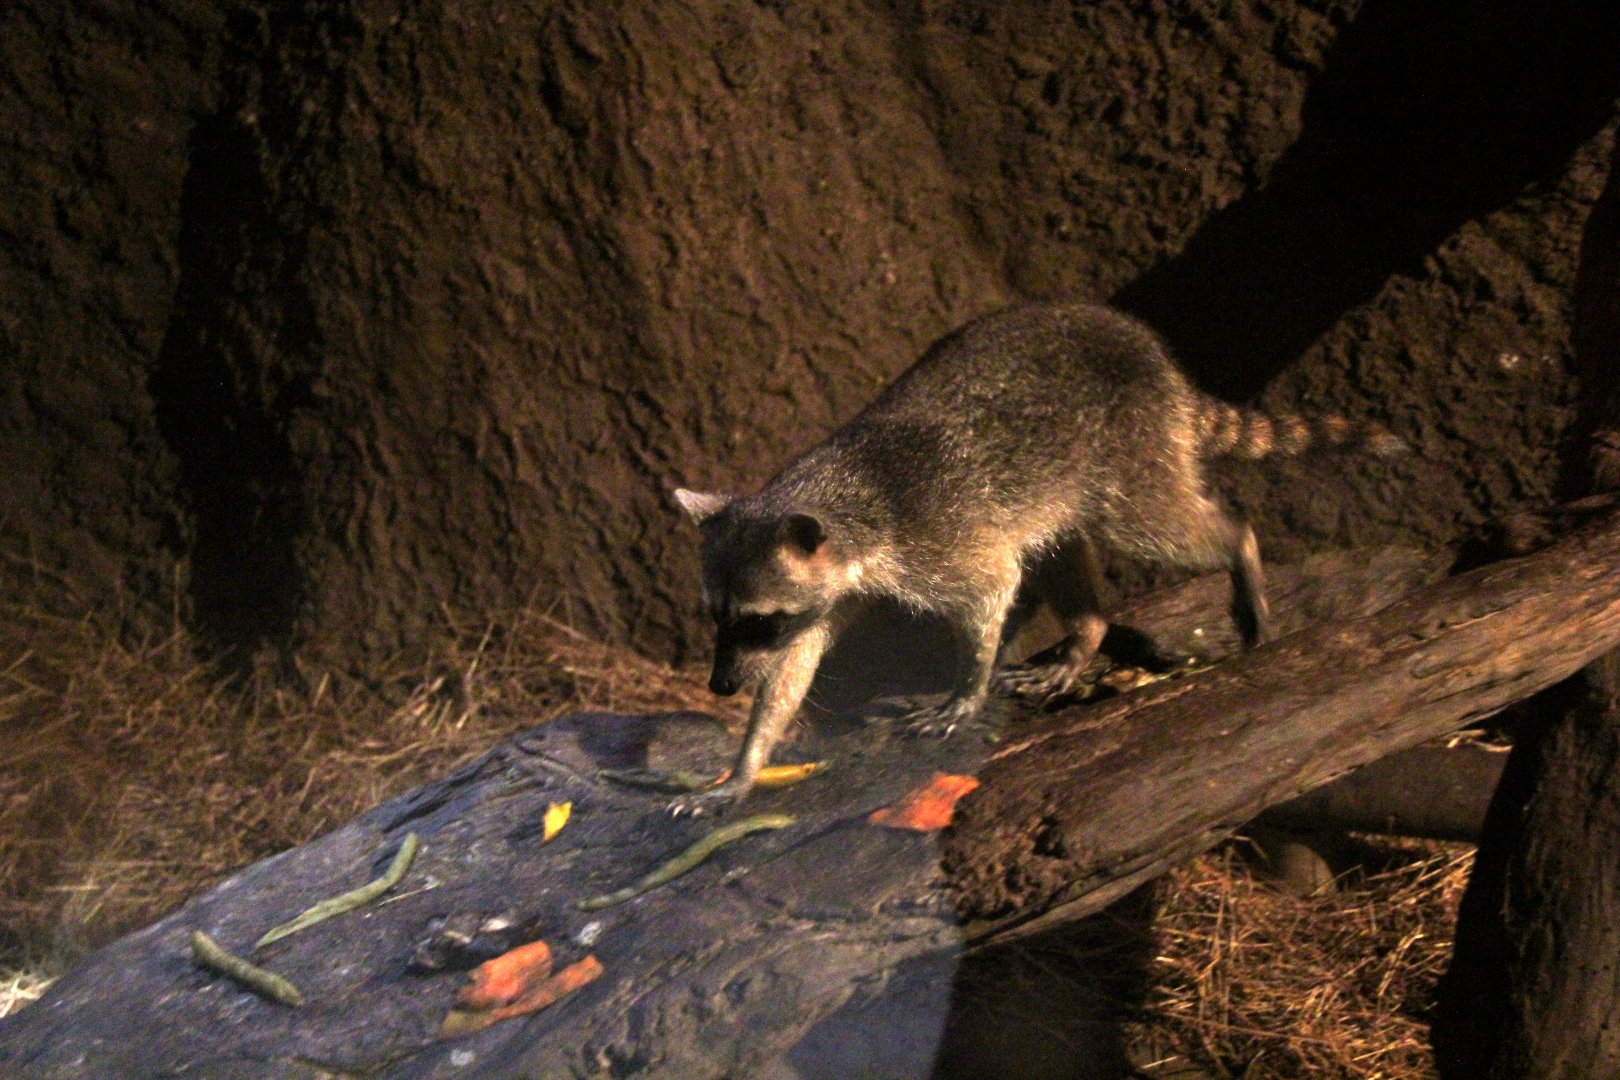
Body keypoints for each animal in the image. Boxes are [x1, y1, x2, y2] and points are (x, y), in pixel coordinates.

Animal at [672, 301, 1401, 814]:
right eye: (718, 617)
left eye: (758, 619)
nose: (720, 686)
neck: (844, 502)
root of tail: (1157, 362)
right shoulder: (834, 592)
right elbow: (792, 672)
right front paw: (746, 764)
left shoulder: (939, 536)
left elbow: (993, 587)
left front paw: (968, 685)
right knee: (1063, 548)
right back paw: (1087, 634)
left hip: (1126, 454)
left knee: (1165, 527)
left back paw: (1242, 550)